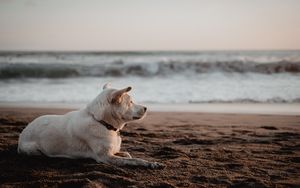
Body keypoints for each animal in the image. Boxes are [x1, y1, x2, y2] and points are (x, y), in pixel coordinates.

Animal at [17, 83, 163, 168]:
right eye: (131, 102)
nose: (146, 108)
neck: (102, 122)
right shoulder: (106, 157)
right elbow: (135, 160)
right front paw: (151, 163)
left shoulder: (111, 152)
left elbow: (127, 155)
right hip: (33, 149)